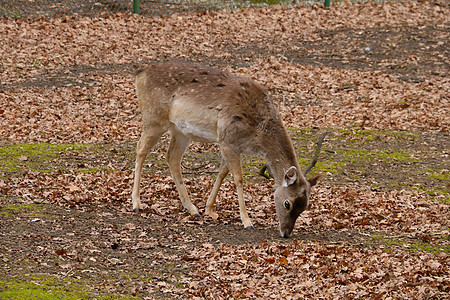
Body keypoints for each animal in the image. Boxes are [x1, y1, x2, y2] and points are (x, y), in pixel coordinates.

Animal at [132, 61, 322, 239]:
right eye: (287, 203)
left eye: (304, 207)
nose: (286, 233)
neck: (258, 132)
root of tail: (141, 72)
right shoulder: (227, 140)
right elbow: (238, 178)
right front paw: (247, 221)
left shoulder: (233, 145)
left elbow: (223, 173)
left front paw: (208, 208)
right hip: (154, 119)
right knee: (140, 149)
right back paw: (136, 203)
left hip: (180, 131)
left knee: (172, 157)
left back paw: (192, 208)